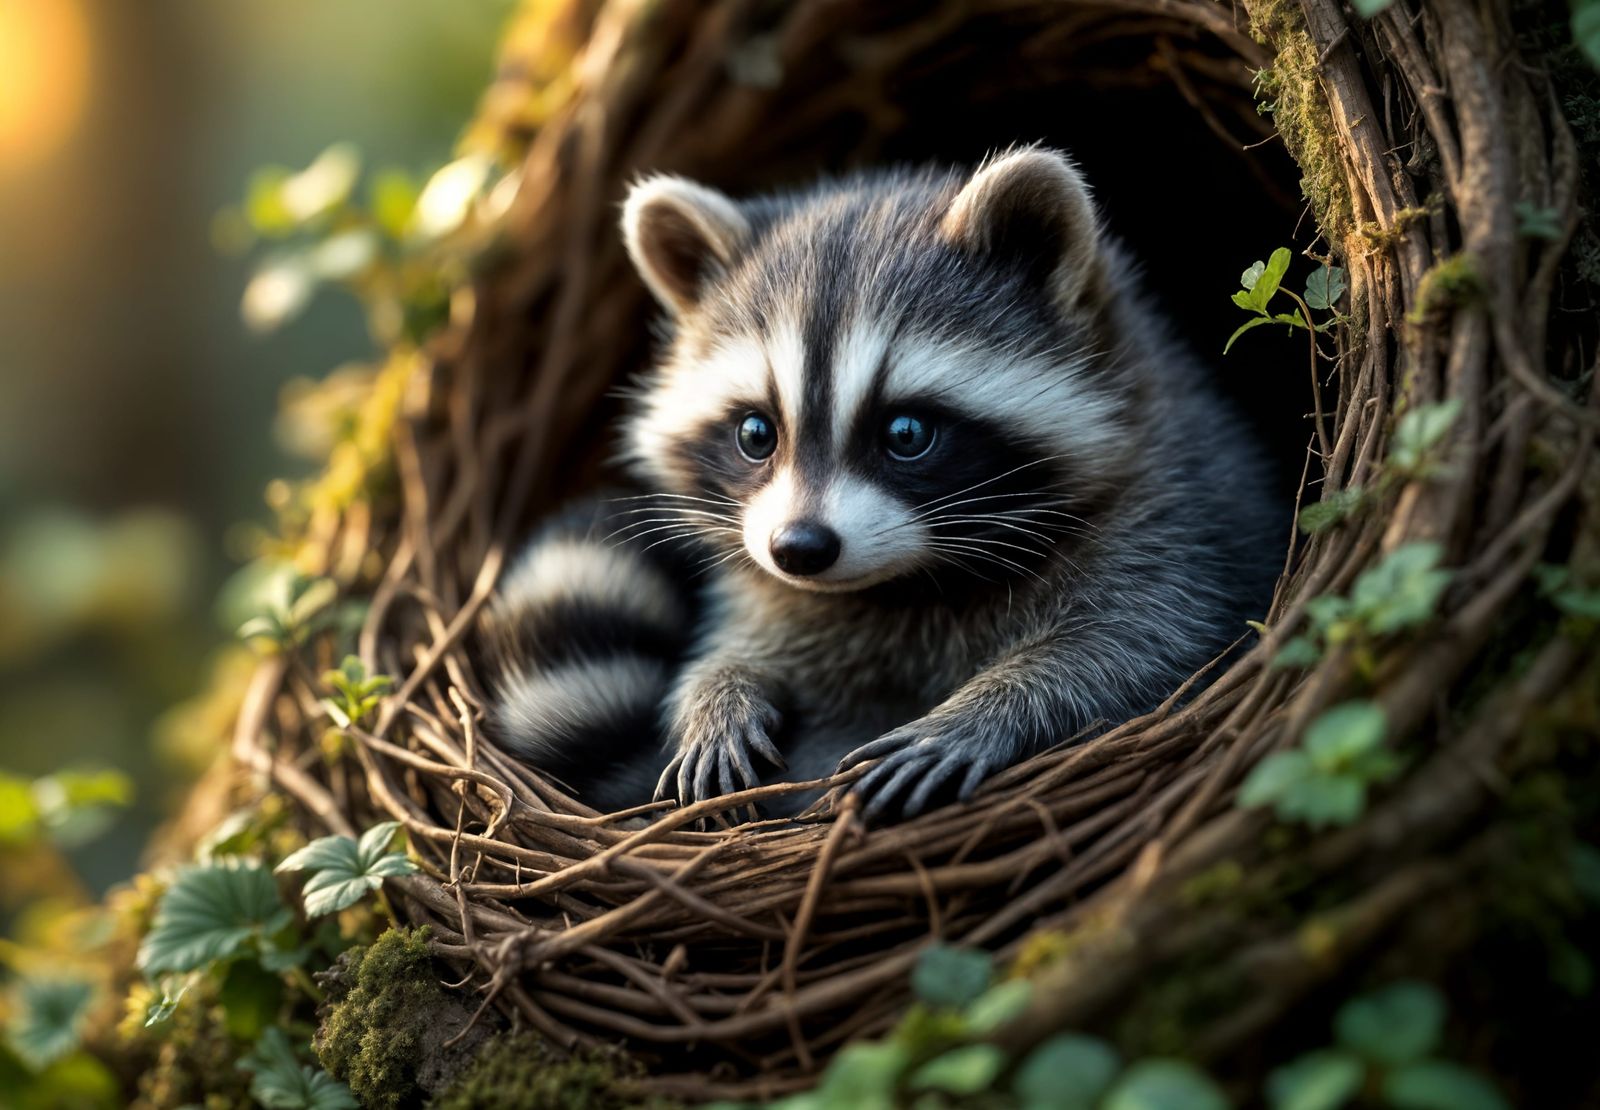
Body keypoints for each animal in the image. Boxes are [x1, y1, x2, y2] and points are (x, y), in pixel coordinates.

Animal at [484, 146, 1282, 823]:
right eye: (756, 434)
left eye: (906, 433)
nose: (800, 549)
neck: (905, 584)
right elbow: (747, 635)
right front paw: (720, 684)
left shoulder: (1175, 513)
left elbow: (1143, 646)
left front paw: (991, 708)